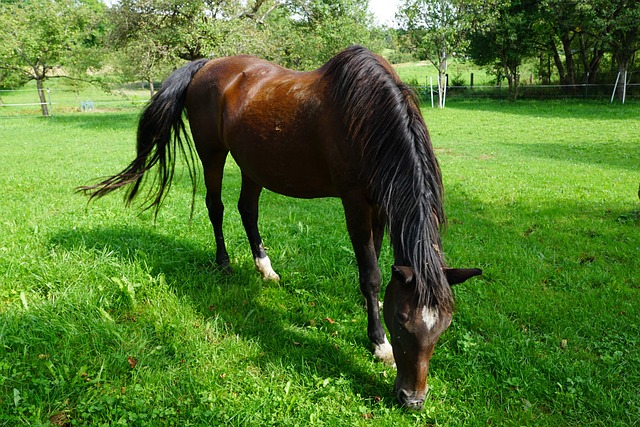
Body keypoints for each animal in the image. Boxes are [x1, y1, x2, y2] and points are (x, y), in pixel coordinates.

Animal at [79, 46, 480, 412]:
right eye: (402, 322)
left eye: (443, 327)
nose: (413, 400)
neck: (369, 117)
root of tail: (207, 64)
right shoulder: (354, 203)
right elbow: (371, 273)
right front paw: (379, 343)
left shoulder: (381, 203)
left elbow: (376, 264)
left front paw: (371, 312)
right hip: (212, 153)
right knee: (216, 207)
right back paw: (224, 263)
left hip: (253, 164)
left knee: (247, 210)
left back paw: (265, 268)